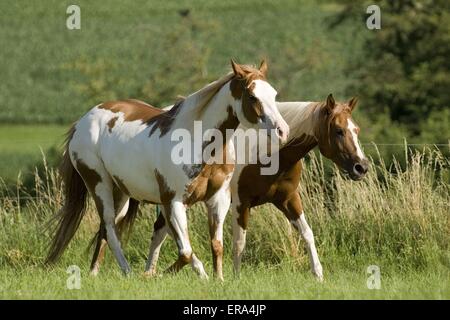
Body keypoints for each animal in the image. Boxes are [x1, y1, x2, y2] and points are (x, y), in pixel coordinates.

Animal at [45, 60, 288, 278]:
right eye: (252, 97)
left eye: (274, 94)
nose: (282, 131)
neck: (198, 142)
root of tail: (81, 122)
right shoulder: (174, 201)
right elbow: (186, 251)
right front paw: (170, 275)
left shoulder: (217, 200)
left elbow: (216, 245)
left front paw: (218, 280)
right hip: (99, 184)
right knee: (111, 229)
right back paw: (129, 273)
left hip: (121, 193)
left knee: (106, 229)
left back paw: (95, 273)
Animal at [146, 92, 368, 280]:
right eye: (339, 131)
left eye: (357, 130)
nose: (361, 167)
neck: (268, 152)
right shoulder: (240, 203)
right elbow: (239, 243)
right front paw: (236, 278)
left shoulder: (288, 198)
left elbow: (307, 233)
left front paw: (318, 275)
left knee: (162, 230)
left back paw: (151, 271)